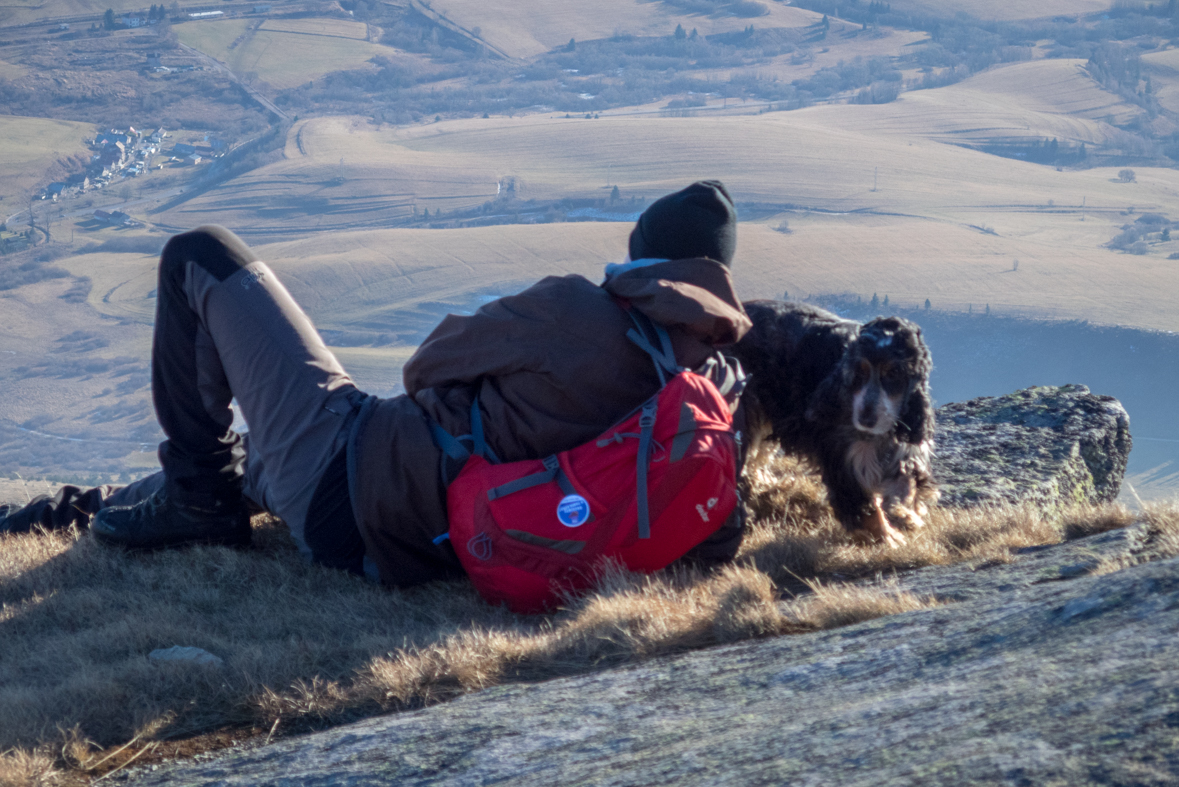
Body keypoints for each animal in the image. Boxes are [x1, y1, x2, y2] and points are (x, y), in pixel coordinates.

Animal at [730, 298, 933, 544]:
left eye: (893, 373)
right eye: (859, 372)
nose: (866, 419)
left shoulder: (904, 448)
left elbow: (907, 483)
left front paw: (905, 514)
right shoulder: (843, 457)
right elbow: (864, 506)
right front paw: (888, 537)